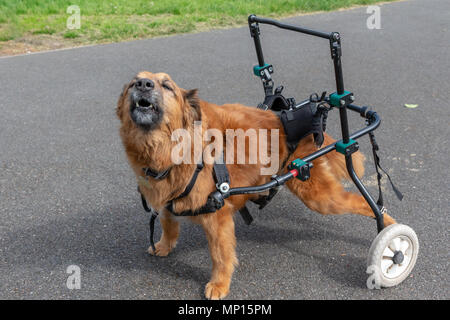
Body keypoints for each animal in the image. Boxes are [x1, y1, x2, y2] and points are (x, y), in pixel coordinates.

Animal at [116, 71, 394, 298]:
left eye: (167, 86)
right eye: (132, 83)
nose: (143, 84)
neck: (169, 150)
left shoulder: (218, 219)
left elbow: (220, 256)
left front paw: (219, 285)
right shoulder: (165, 200)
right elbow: (168, 223)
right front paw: (163, 246)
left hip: (320, 197)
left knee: (365, 203)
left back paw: (389, 229)